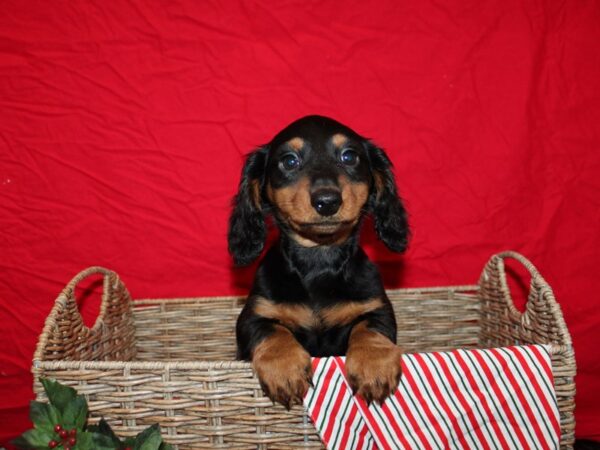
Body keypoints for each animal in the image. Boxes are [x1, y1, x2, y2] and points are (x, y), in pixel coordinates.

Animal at [227, 115, 410, 408]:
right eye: (289, 161)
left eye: (349, 156)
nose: (327, 201)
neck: (319, 260)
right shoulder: (252, 317)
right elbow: (273, 331)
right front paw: (285, 368)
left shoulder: (377, 309)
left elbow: (368, 328)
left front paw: (374, 364)